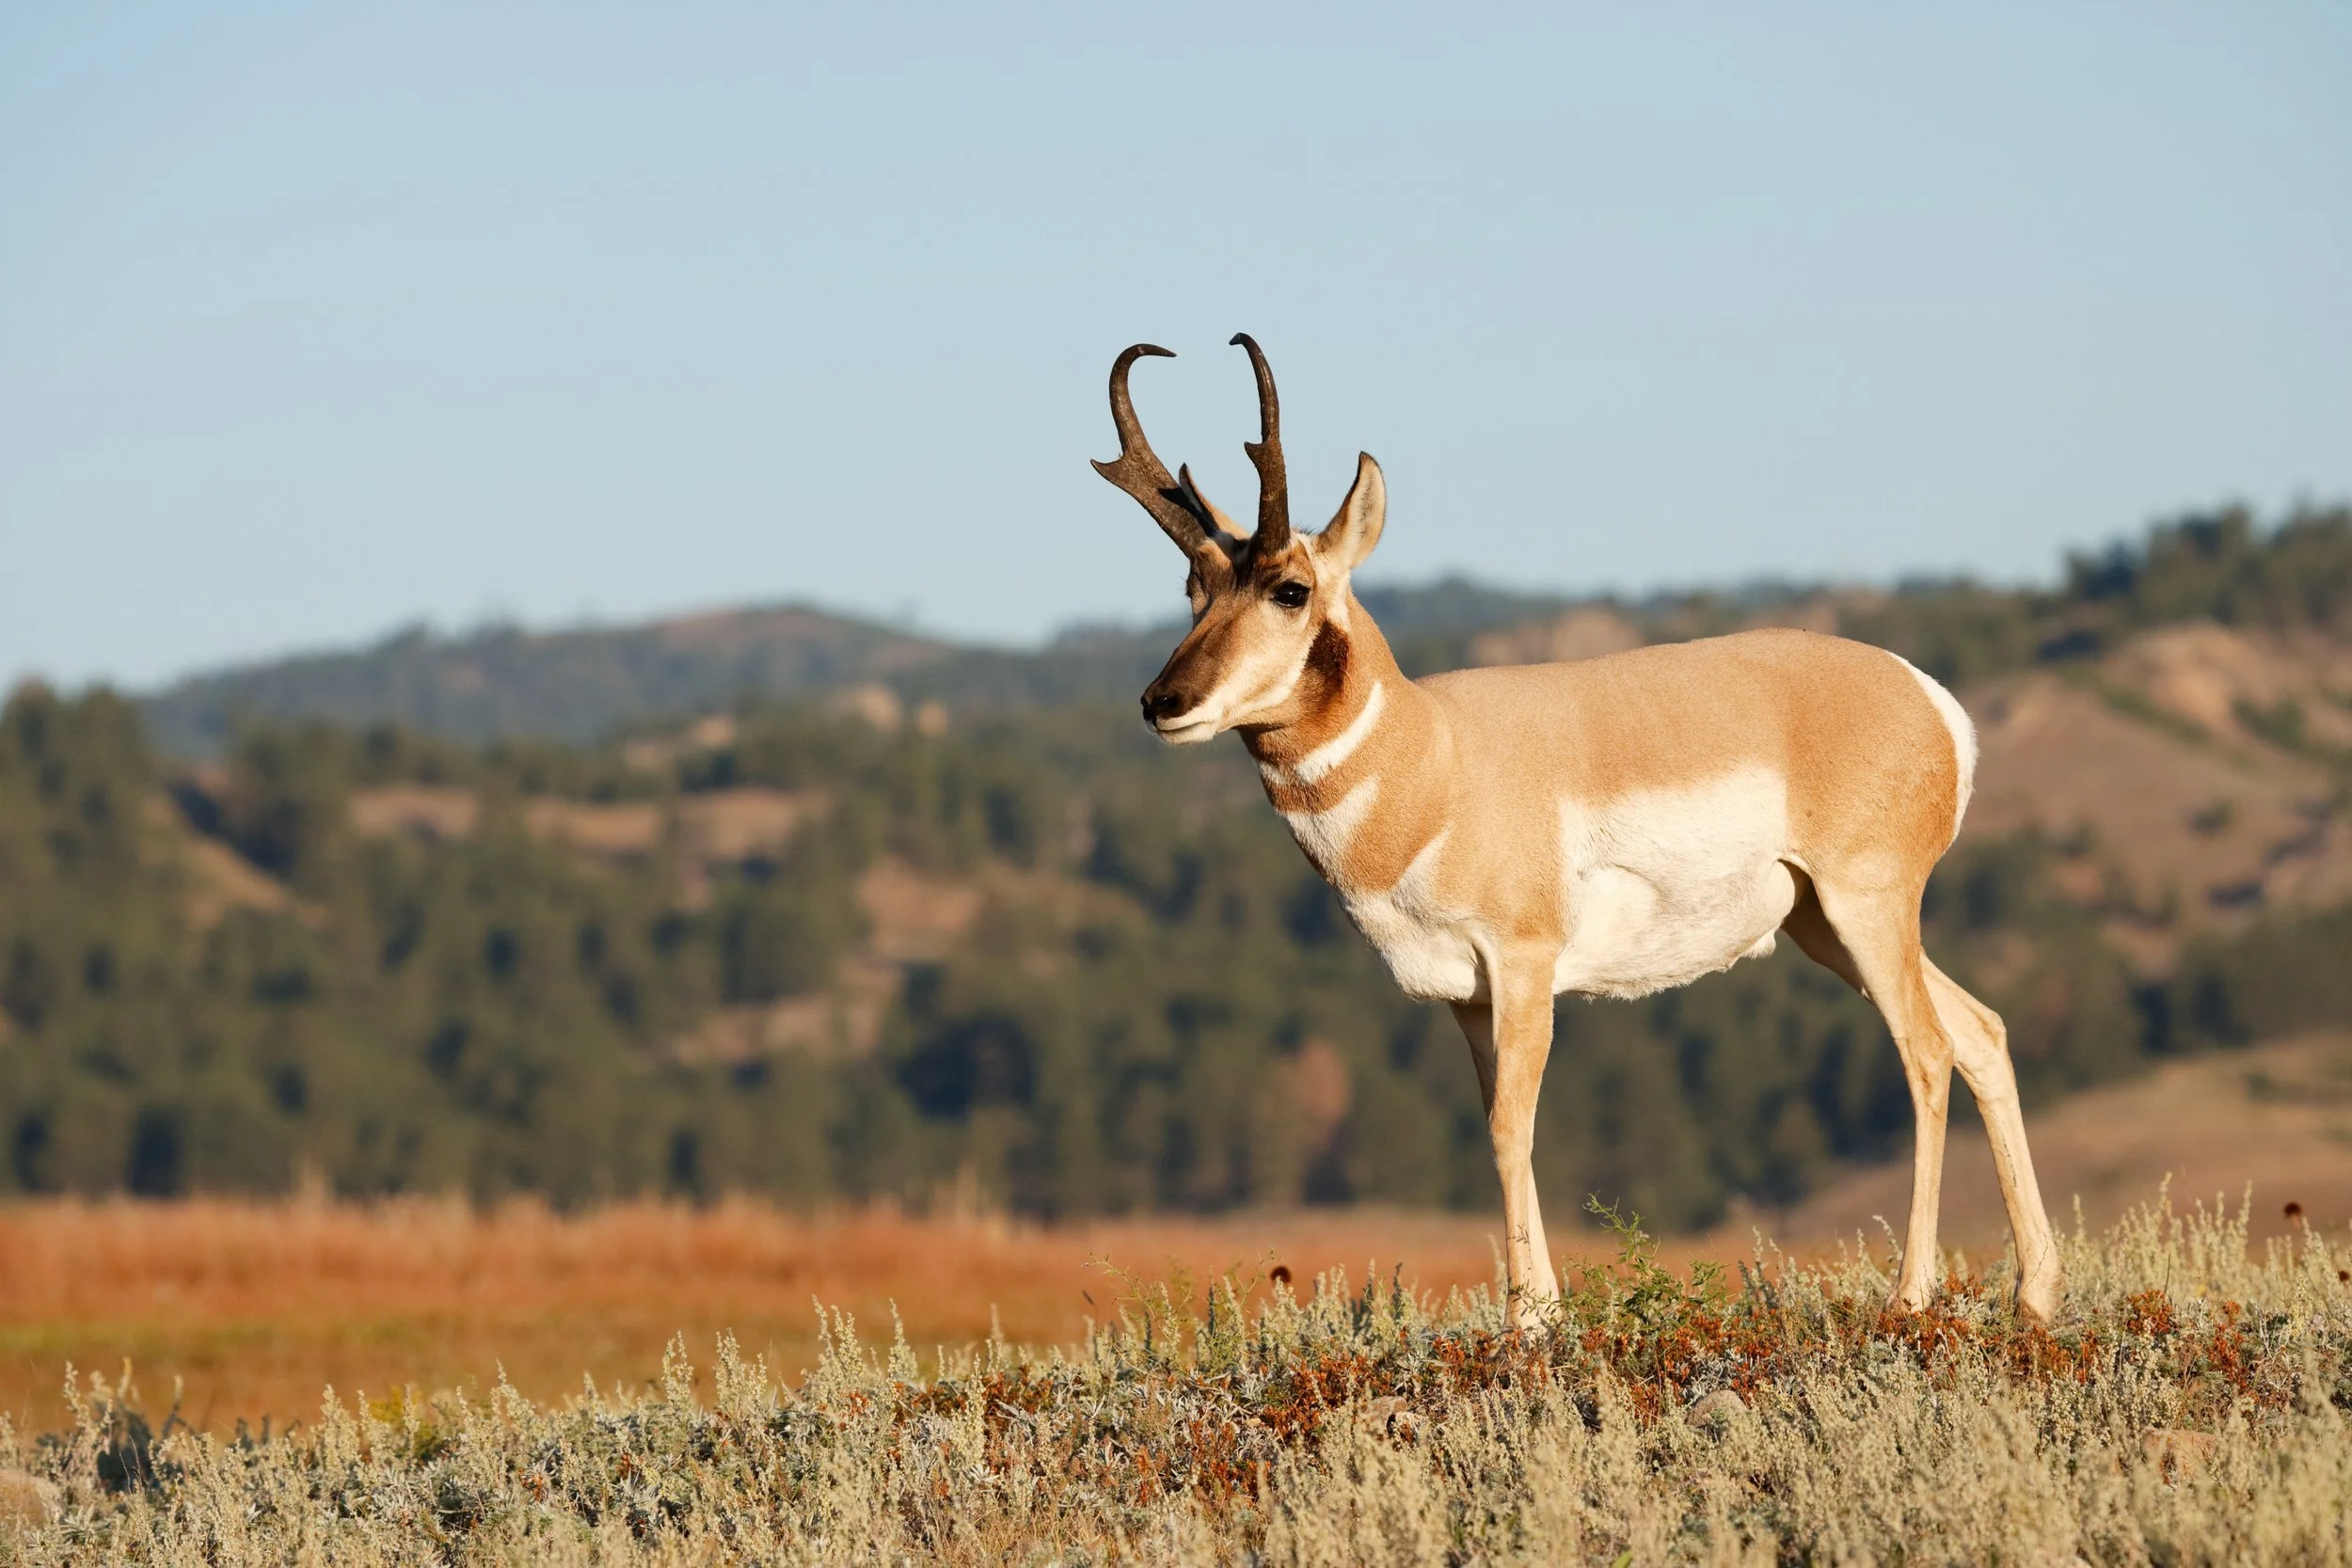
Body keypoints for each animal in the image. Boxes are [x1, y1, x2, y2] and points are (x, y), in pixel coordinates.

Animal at [1092, 336, 2062, 1327]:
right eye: (1194, 586)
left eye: (1290, 588)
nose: (1164, 701)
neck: (1435, 752)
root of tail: (1928, 696)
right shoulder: (1465, 997)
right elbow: (1498, 1129)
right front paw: (1542, 1310)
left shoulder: (1524, 967)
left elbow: (1512, 1125)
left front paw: (1530, 1321)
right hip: (1823, 926)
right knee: (1982, 1031)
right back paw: (2034, 1293)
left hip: (1867, 909)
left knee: (1929, 1053)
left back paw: (1912, 1296)